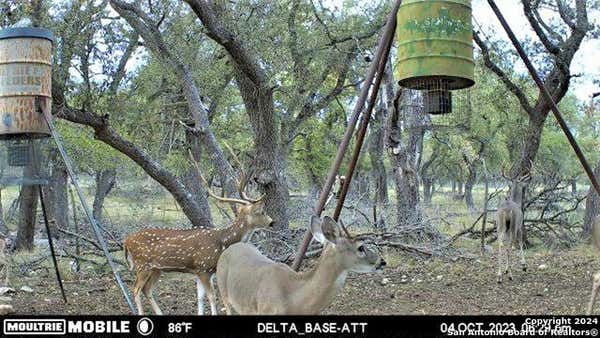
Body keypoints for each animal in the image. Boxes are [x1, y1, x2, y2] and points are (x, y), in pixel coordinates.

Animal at [124, 152, 274, 316]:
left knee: (146, 289)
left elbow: (200, 297)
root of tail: (126, 241)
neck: (222, 243)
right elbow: (212, 297)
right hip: (142, 264)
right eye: (261, 212)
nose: (272, 222)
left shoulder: (198, 270)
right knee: (135, 289)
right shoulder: (203, 268)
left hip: (156, 268)